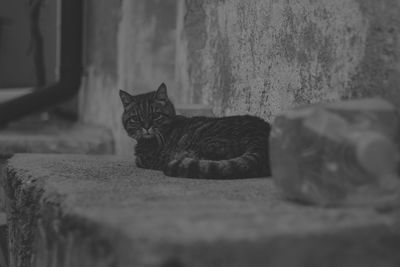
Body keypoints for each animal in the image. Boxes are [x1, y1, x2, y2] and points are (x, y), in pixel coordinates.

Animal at [117, 83, 270, 180]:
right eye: (136, 118)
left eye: (156, 115)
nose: (146, 127)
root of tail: (261, 134)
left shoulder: (145, 159)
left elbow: (138, 160)